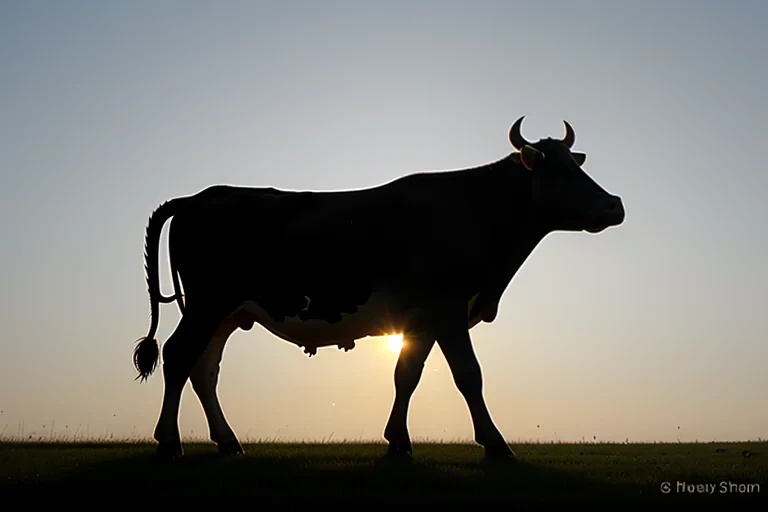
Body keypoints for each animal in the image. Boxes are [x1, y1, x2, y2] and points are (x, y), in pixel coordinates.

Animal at [132, 116, 625, 461]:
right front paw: (496, 444)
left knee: (204, 369)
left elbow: (406, 375)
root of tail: (197, 197)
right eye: (559, 173)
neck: (473, 211)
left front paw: (398, 441)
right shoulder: (447, 309)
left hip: (225, 313)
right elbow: (469, 375)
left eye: (576, 166)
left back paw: (227, 441)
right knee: (178, 356)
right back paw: (169, 441)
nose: (615, 205)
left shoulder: (420, 321)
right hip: (207, 303)